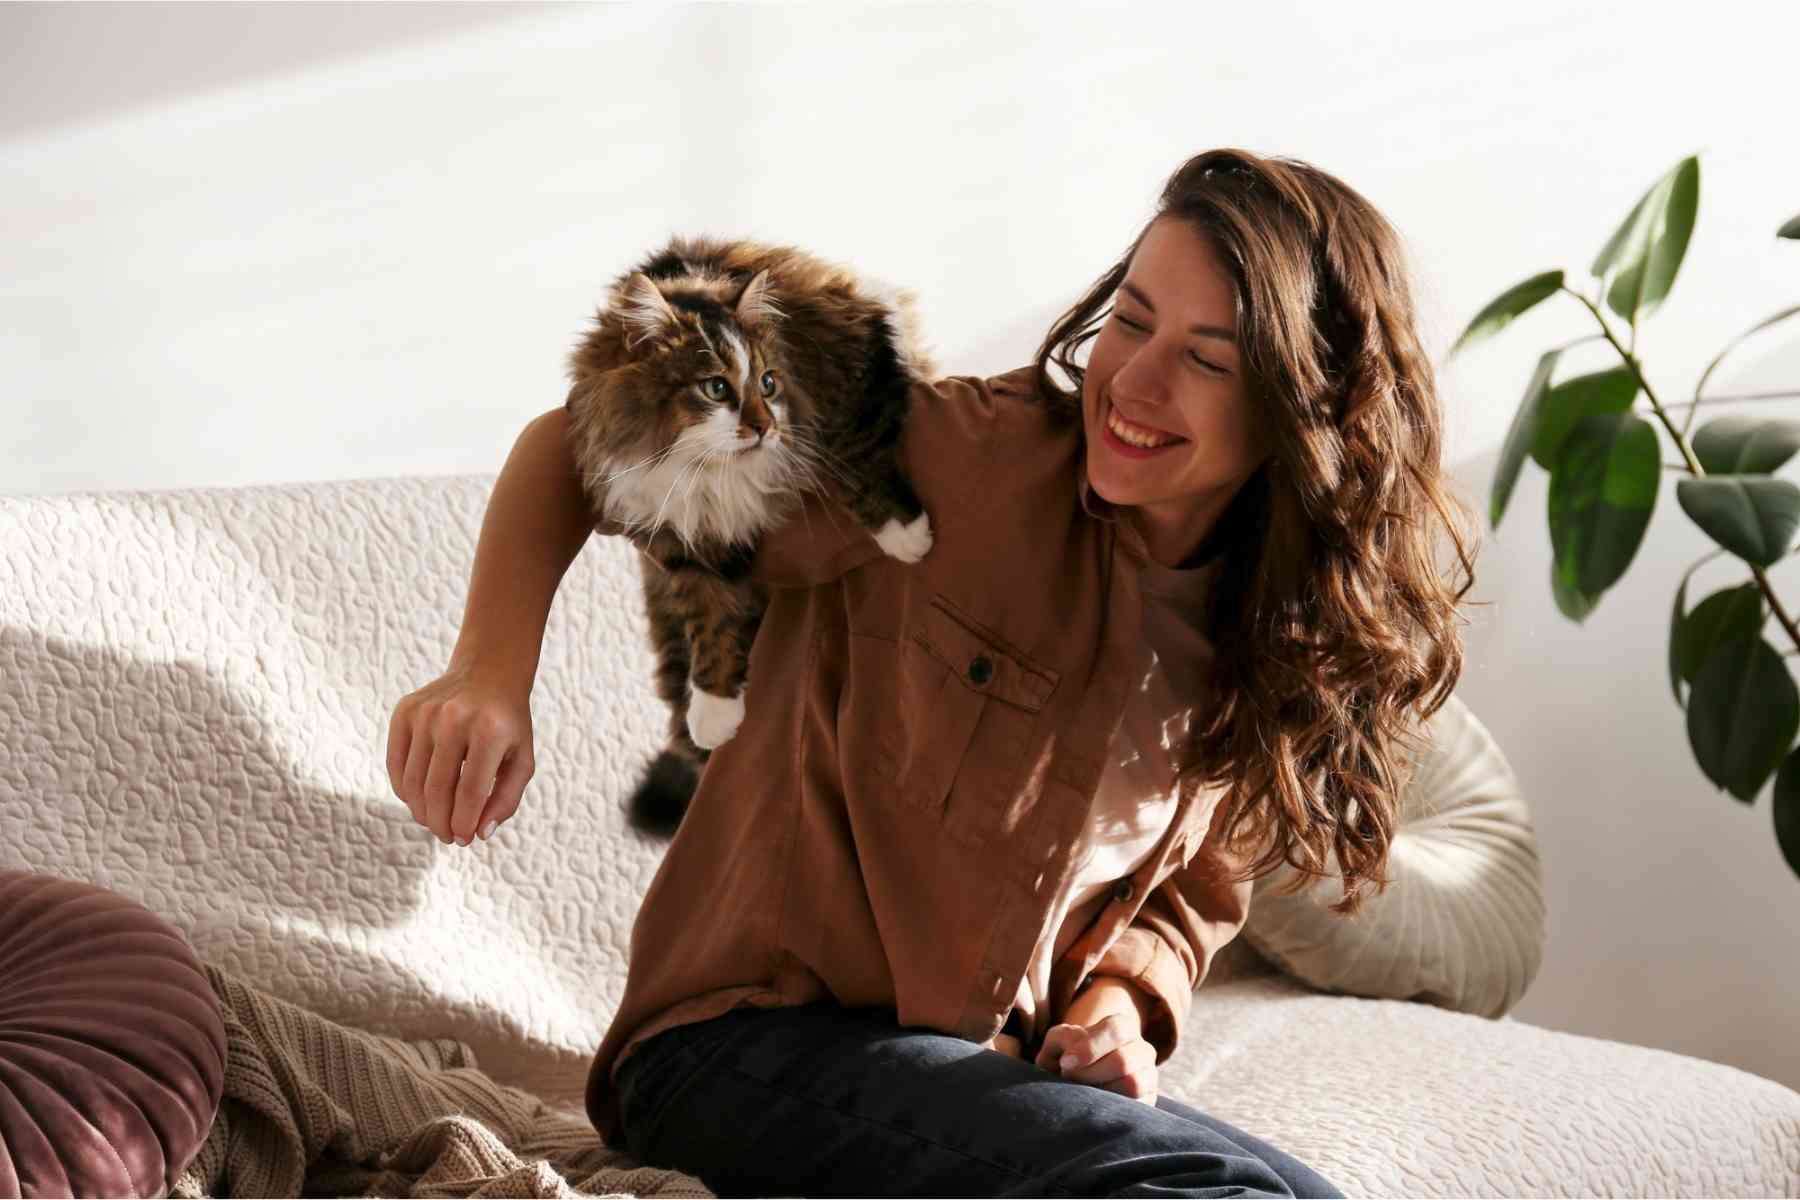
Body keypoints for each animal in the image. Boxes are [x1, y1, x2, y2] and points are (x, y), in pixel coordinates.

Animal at [565, 232, 943, 834]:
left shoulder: (857, 355)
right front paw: (716, 710)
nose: (766, 428)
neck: (707, 475)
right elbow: (708, 620)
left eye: (768, 383)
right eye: (716, 388)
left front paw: (907, 535)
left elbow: (853, 453)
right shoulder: (681, 540)